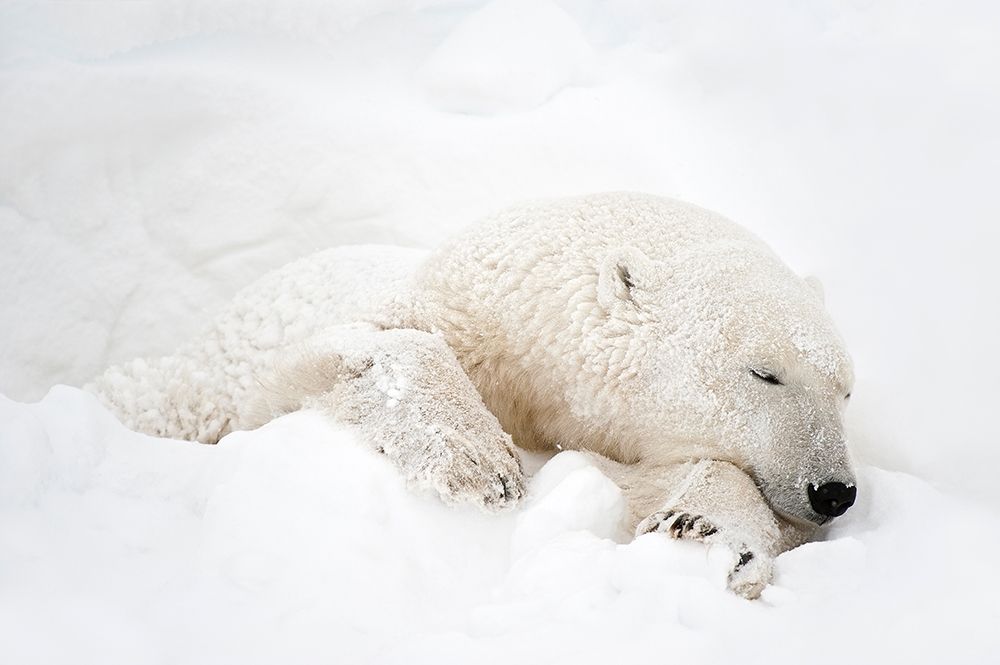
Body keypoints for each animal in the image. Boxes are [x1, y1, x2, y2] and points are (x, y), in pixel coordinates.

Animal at [90, 191, 860, 596]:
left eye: (844, 390)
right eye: (765, 372)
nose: (835, 491)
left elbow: (644, 477)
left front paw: (712, 533)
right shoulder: (460, 313)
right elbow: (360, 346)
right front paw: (478, 462)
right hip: (205, 370)